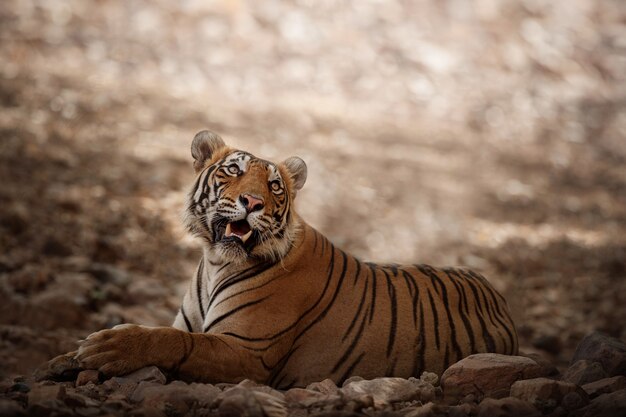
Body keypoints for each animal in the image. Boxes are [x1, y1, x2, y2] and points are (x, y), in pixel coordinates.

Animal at [77, 129, 516, 386]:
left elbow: (175, 340)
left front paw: (110, 346)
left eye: (274, 186)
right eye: (232, 170)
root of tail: (497, 295)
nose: (252, 202)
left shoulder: (247, 353)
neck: (217, 262)